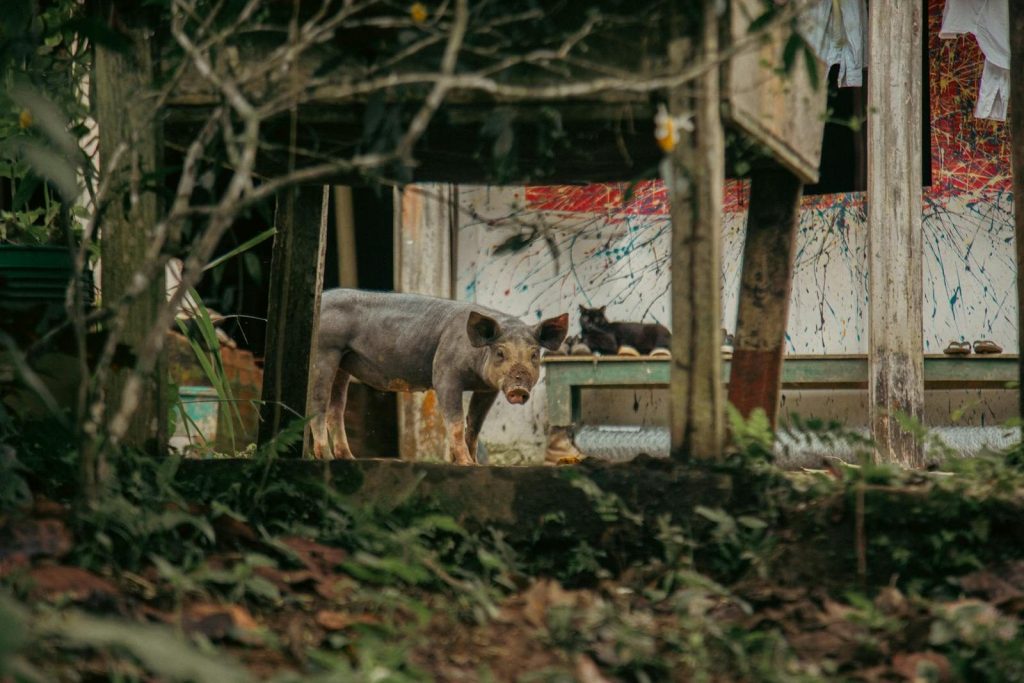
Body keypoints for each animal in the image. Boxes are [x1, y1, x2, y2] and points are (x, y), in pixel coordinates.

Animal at [311, 289, 569, 464]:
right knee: (319, 405)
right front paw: (466, 464)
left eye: (534, 354)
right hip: (324, 351)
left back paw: (347, 458)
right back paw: (325, 457)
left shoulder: (488, 389)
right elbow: (455, 421)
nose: (519, 389)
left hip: (343, 364)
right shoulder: (445, 373)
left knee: (336, 408)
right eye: (500, 352)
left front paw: (474, 463)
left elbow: (474, 425)